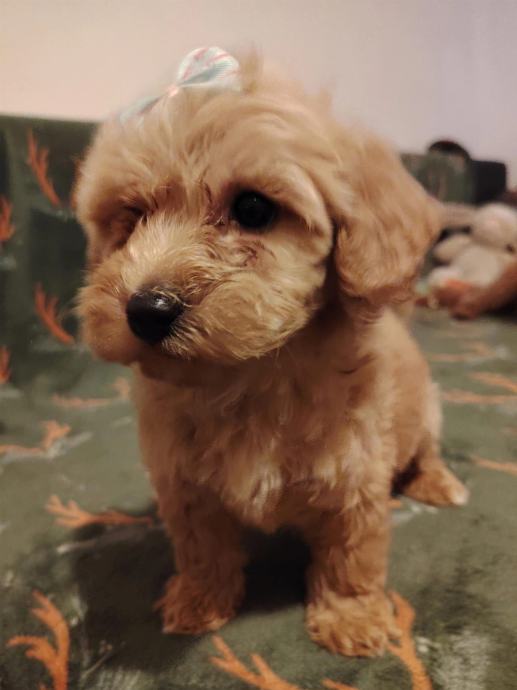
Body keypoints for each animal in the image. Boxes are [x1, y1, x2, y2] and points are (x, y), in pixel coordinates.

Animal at [76, 48, 468, 657]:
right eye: (133, 217)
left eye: (254, 209)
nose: (147, 309)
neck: (247, 373)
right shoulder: (183, 483)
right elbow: (201, 546)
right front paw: (199, 600)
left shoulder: (356, 473)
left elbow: (352, 552)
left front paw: (351, 618)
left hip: (425, 408)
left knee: (426, 449)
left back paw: (438, 483)